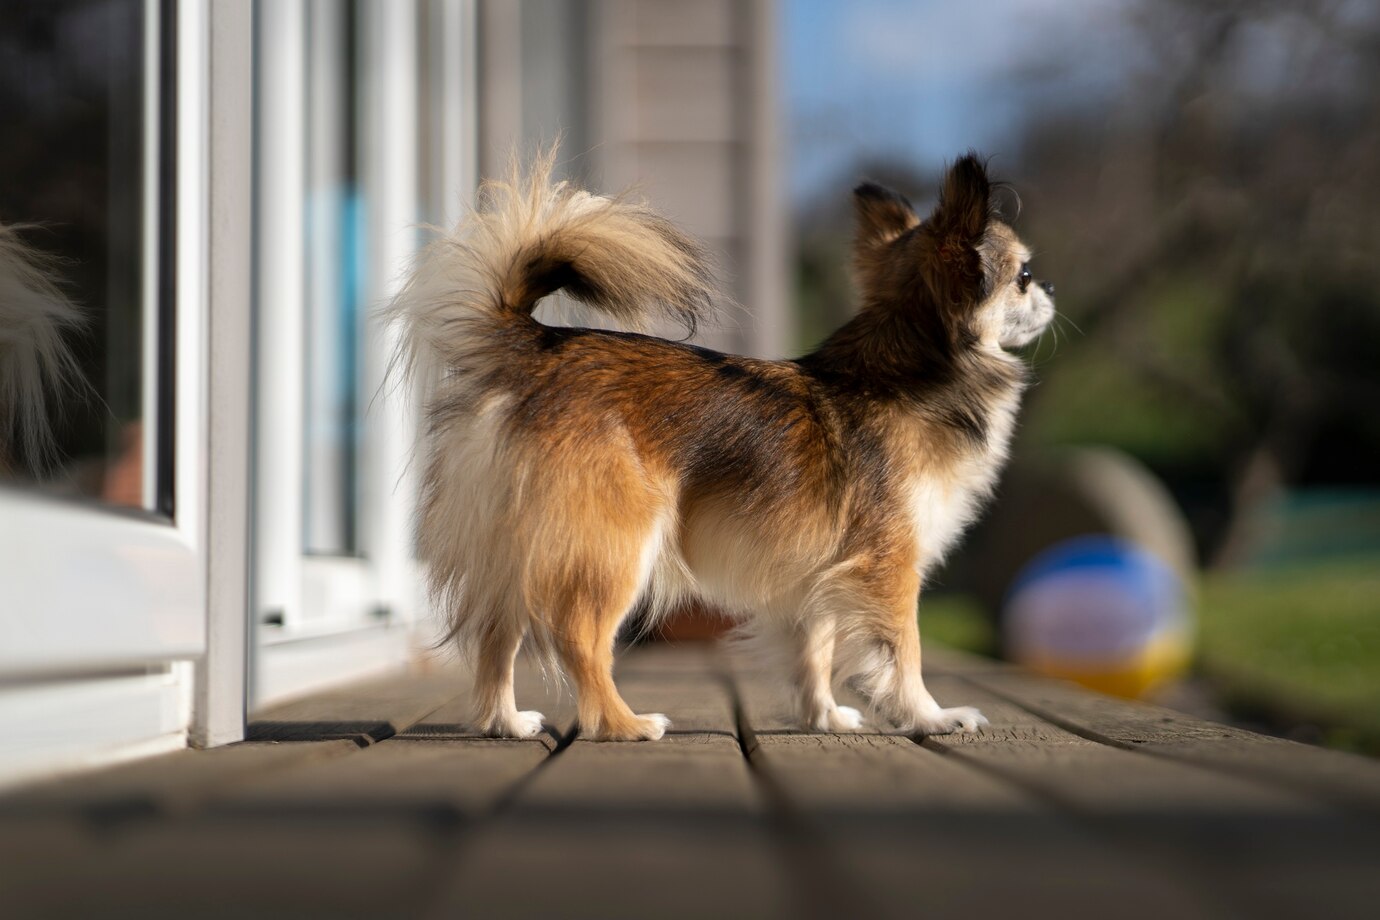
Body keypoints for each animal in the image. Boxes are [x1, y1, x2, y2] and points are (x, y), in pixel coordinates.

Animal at [389, 149, 1054, 739]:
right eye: (1022, 277)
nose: (1048, 287)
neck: (906, 373)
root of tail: (535, 348)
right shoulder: (887, 567)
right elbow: (902, 652)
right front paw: (930, 716)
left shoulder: (817, 574)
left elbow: (815, 649)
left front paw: (824, 717)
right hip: (614, 546)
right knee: (580, 641)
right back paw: (624, 725)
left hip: (512, 546)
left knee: (495, 637)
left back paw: (505, 723)